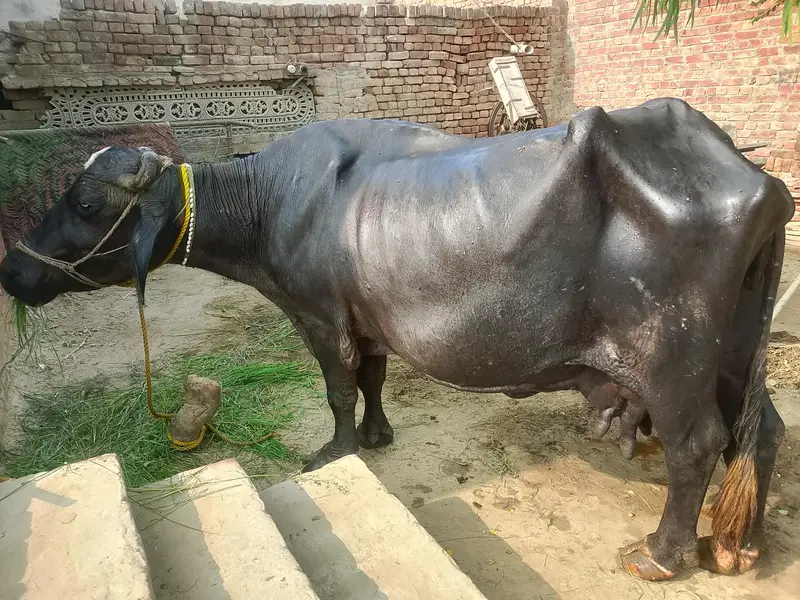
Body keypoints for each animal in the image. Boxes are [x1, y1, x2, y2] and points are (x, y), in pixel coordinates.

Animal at [0, 98, 794, 581]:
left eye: (85, 201)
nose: (14, 267)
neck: (274, 202)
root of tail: (755, 178)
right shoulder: (367, 320)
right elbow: (375, 379)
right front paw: (378, 435)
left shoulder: (321, 317)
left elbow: (338, 389)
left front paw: (337, 450)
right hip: (734, 354)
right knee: (762, 431)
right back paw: (740, 544)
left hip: (675, 361)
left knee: (697, 445)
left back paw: (660, 554)